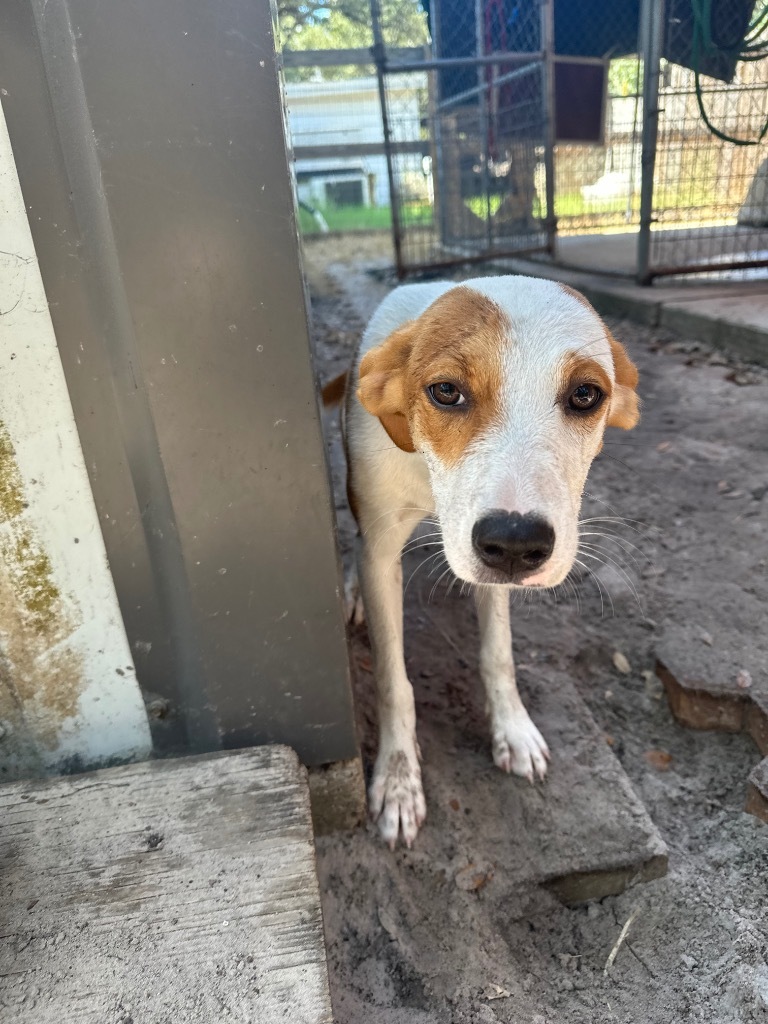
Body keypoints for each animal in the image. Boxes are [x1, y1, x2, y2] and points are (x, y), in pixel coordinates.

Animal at [327, 276, 638, 851]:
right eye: (446, 391)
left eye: (586, 395)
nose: (515, 542)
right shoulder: (382, 548)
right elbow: (393, 681)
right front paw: (398, 778)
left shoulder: (494, 572)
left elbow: (499, 655)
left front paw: (512, 729)